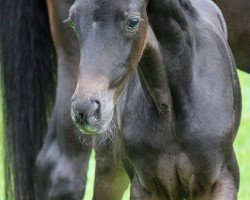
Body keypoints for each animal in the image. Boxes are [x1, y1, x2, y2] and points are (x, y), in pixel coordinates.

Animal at [0, 0, 240, 200]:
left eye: (133, 22)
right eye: (72, 22)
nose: (86, 109)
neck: (169, 111)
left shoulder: (223, 179)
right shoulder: (144, 186)